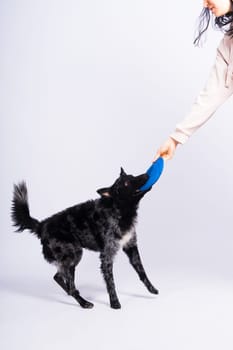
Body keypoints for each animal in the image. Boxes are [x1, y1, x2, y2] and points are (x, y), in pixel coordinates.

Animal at [10, 170, 158, 308]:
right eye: (126, 183)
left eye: (132, 176)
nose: (146, 175)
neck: (119, 209)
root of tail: (42, 225)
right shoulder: (106, 256)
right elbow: (110, 282)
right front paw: (114, 302)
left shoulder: (131, 247)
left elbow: (142, 271)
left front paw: (152, 289)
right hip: (73, 255)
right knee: (69, 284)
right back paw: (83, 302)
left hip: (71, 258)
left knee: (59, 277)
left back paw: (72, 294)